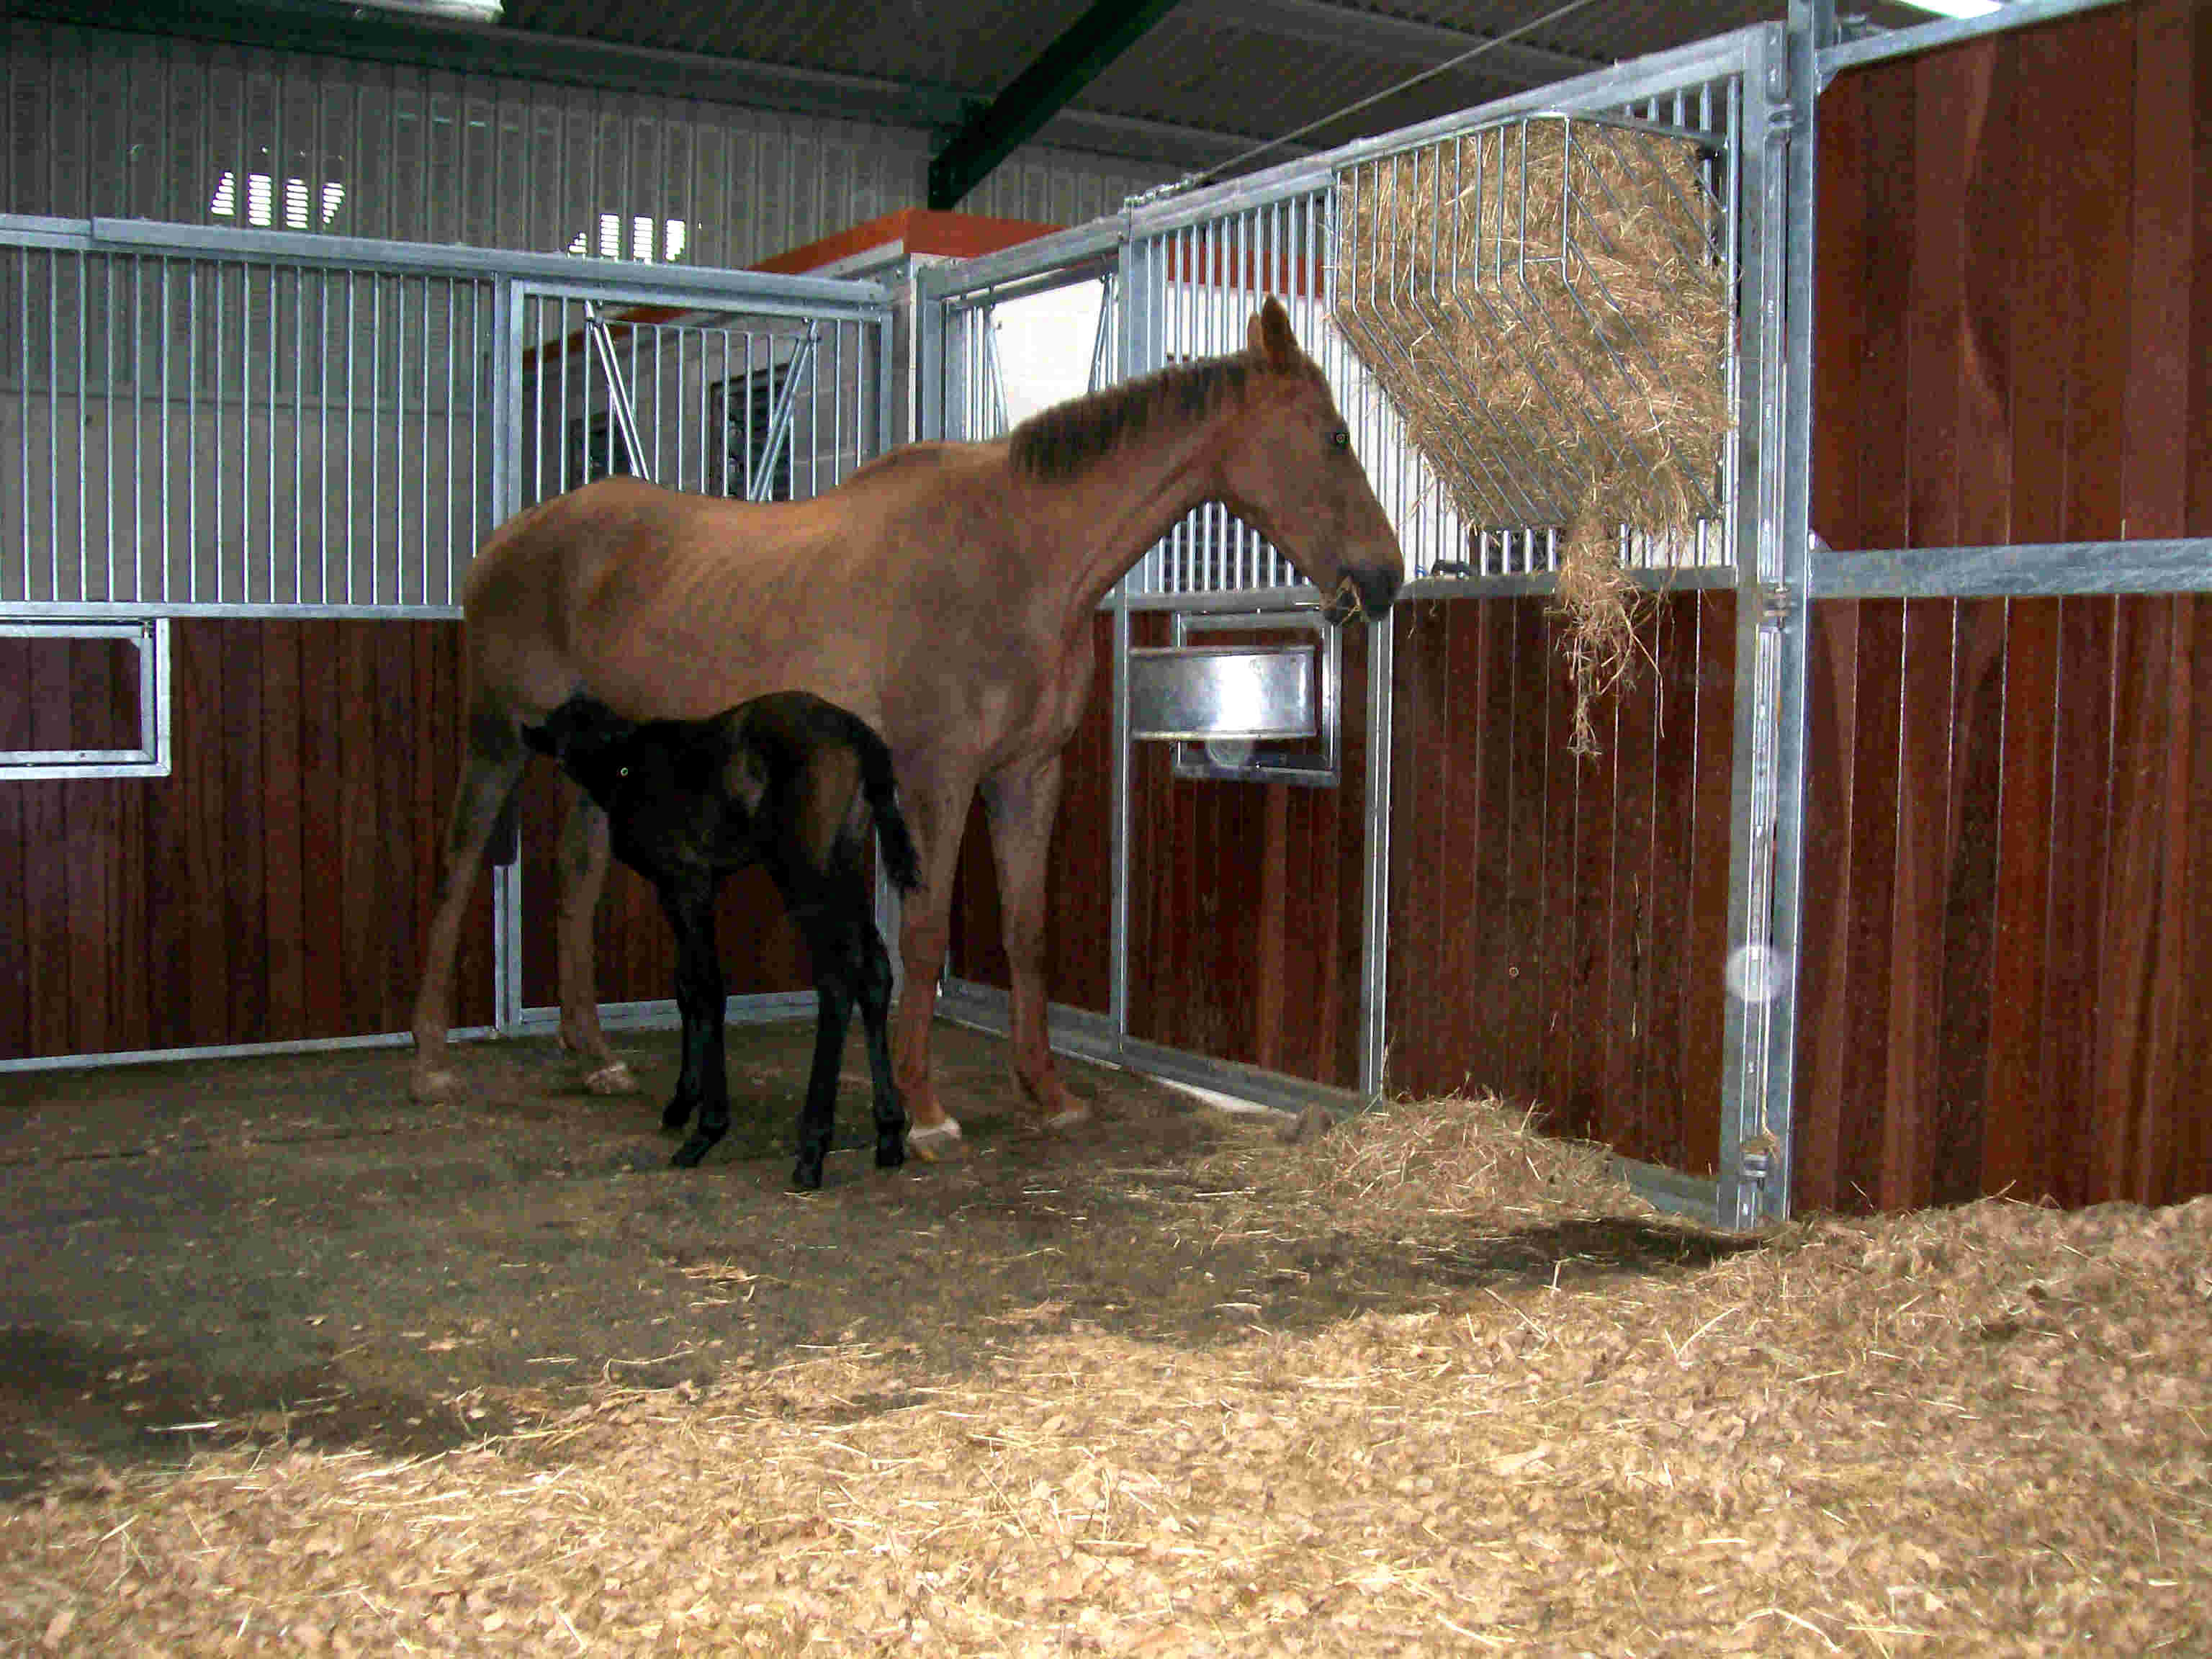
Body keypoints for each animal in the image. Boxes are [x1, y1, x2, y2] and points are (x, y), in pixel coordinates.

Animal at [520, 690, 920, 1189]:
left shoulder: (685, 883)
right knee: (876, 972)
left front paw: (706, 1128)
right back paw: (888, 1134)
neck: (628, 766)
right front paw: (680, 1104)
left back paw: (811, 1152)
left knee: (837, 979)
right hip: (843, 864)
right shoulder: (690, 887)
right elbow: (685, 986)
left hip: (803, 871)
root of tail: (860, 737)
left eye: (561, 746)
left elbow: (707, 988)